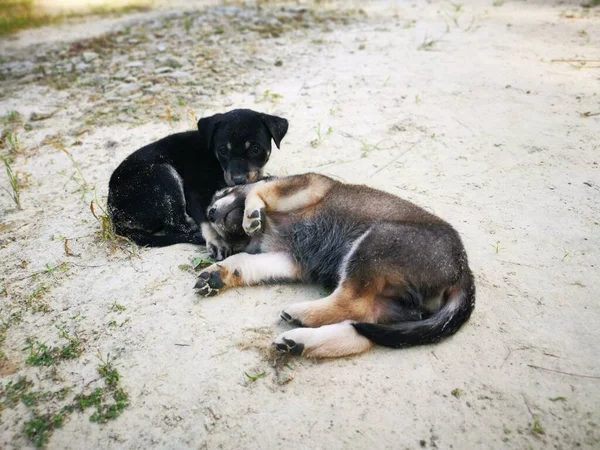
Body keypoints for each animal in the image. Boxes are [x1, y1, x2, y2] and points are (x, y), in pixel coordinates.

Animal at [195, 173, 476, 358]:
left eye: (224, 192)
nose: (210, 213)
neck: (269, 226)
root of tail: (463, 272)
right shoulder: (288, 258)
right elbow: (243, 260)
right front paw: (218, 273)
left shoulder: (303, 186)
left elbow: (260, 191)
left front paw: (251, 213)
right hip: (392, 304)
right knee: (360, 329)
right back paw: (299, 342)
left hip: (375, 243)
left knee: (351, 304)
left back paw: (300, 315)